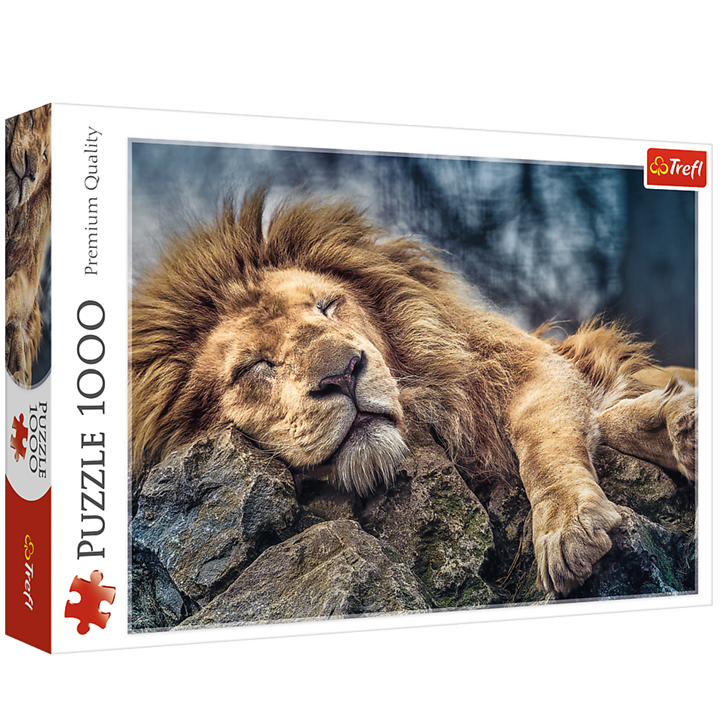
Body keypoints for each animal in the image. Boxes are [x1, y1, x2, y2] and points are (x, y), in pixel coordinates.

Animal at [131, 186, 697, 596]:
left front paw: (570, 525)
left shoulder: (525, 365)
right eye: (255, 366)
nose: (343, 374)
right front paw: (673, 426)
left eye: (328, 307)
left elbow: (545, 442)